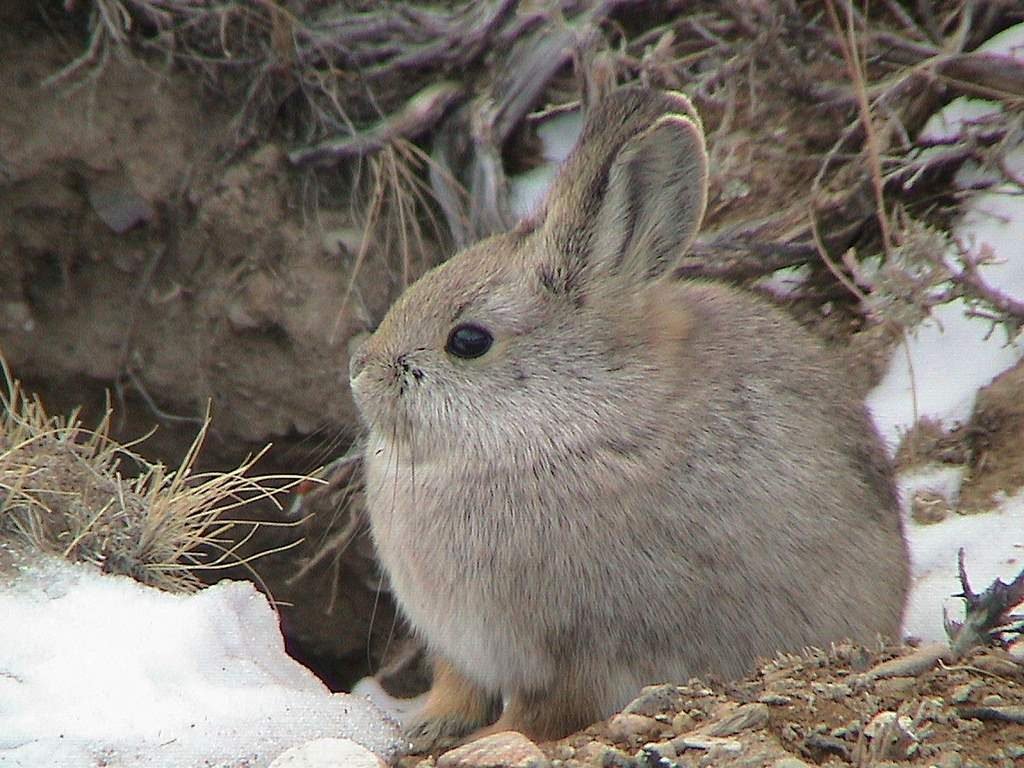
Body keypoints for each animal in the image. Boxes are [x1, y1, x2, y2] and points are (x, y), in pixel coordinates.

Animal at [348, 85, 909, 753]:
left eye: (468, 341)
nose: (360, 371)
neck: (562, 419)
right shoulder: (460, 646)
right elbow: (458, 687)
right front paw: (425, 729)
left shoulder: (578, 650)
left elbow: (542, 713)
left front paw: (481, 744)